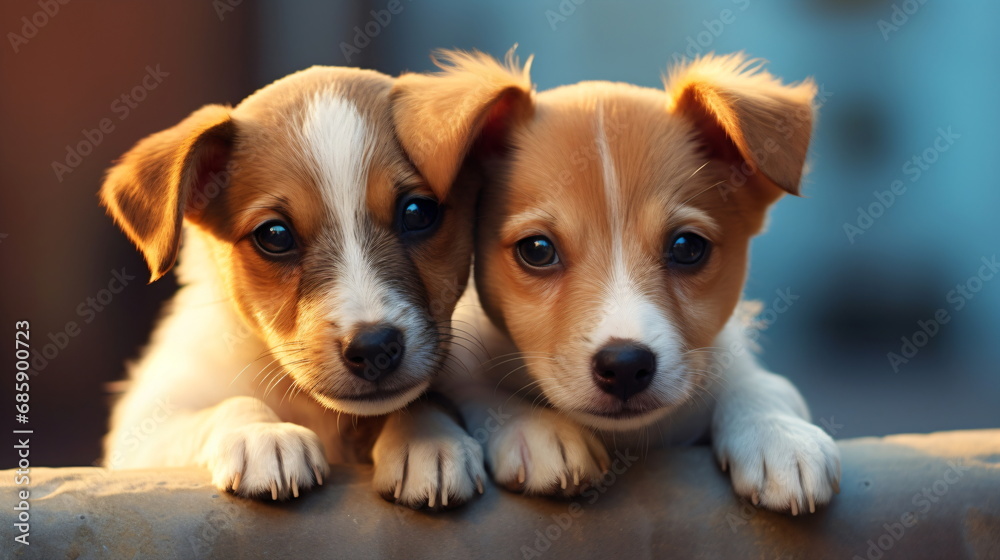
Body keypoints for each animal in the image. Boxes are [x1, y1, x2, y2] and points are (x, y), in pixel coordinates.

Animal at [99, 62, 524, 508]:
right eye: (274, 235)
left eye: (418, 212)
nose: (374, 348)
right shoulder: (142, 430)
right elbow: (230, 404)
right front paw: (264, 435)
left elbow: (421, 401)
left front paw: (429, 438)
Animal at [434, 50, 840, 516]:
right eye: (536, 250)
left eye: (687, 247)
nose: (625, 365)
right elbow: (479, 387)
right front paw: (535, 429)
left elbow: (759, 381)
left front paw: (778, 434)